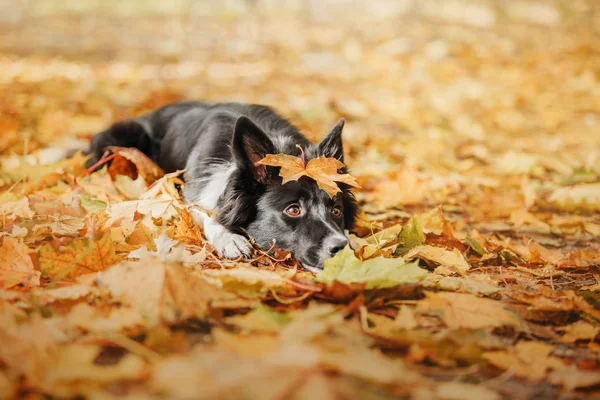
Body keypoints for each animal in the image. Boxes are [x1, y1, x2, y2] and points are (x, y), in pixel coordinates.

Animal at [86, 101, 358, 274]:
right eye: (293, 210)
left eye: (336, 210)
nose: (341, 246)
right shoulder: (193, 195)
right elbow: (206, 214)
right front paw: (230, 238)